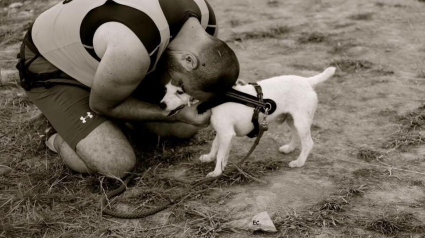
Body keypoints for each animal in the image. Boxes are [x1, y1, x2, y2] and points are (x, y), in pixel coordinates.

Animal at [159, 67, 334, 177]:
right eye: (166, 89)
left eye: (180, 92)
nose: (161, 105)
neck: (216, 98)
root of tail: (307, 81)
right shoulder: (222, 132)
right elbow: (216, 147)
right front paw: (210, 158)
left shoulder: (226, 134)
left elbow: (220, 154)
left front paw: (216, 172)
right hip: (292, 120)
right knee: (296, 136)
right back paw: (289, 148)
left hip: (301, 122)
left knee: (308, 143)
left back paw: (299, 162)